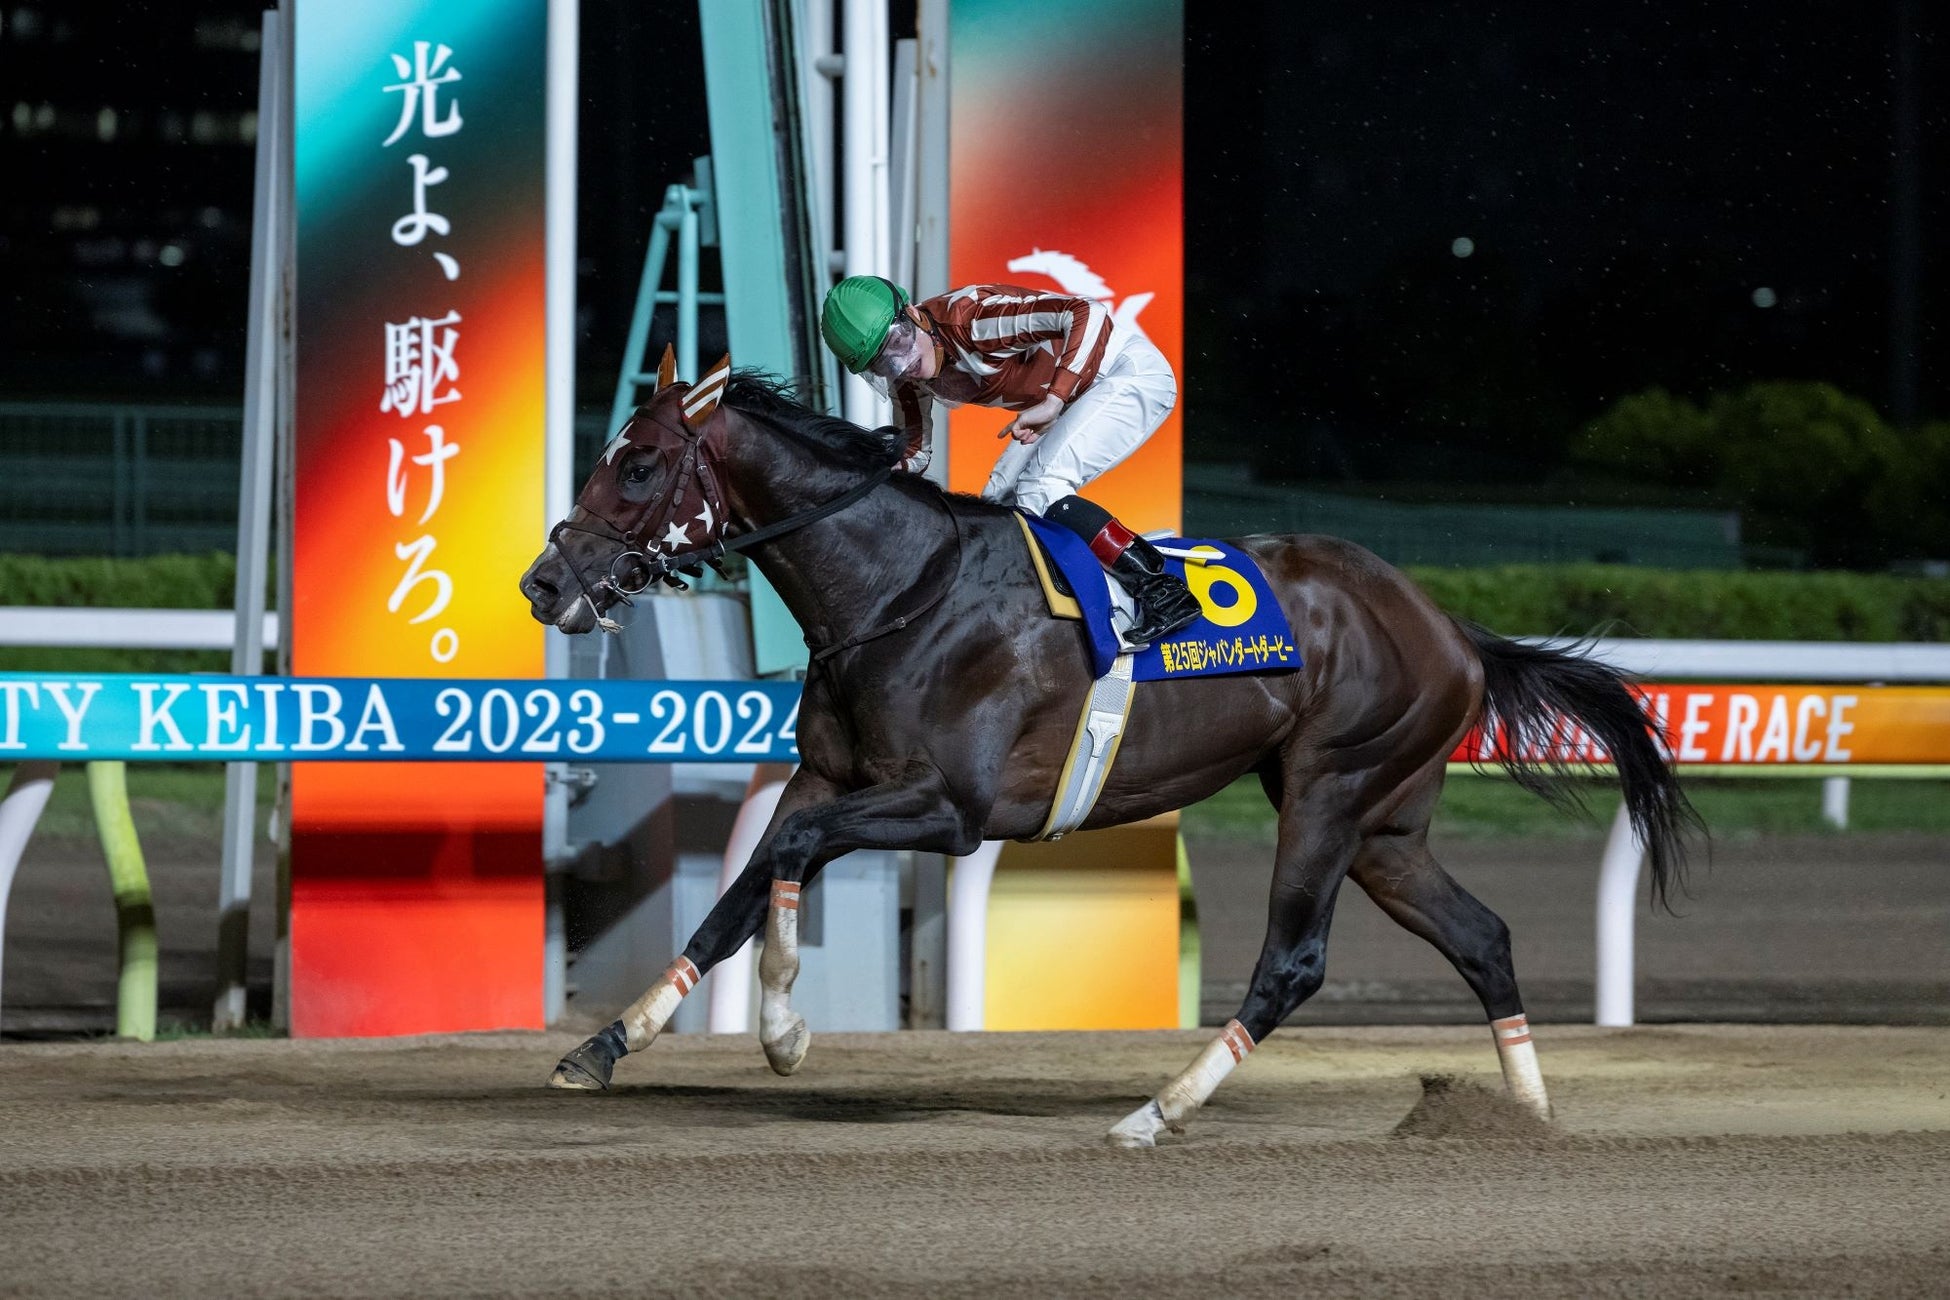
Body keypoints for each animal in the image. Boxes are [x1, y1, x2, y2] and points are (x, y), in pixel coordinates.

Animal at [518, 364, 1692, 1146]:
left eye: (639, 463)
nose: (543, 582)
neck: (899, 591)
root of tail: (1450, 626)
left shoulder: (949, 807)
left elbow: (793, 861)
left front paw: (783, 1033)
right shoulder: (826, 776)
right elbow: (740, 892)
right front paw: (605, 1044)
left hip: (1332, 787)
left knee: (1294, 961)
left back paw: (1157, 1109)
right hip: (1384, 824)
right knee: (1482, 935)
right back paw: (1528, 1112)